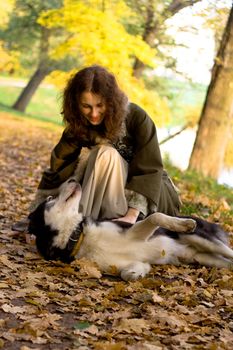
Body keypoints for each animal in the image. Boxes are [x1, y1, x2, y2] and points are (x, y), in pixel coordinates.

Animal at [28, 179, 233, 280]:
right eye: (50, 199)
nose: (72, 180)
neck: (79, 237)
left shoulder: (136, 231)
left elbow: (155, 216)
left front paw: (183, 224)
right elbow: (126, 273)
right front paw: (138, 274)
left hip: (203, 240)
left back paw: (188, 224)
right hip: (204, 258)